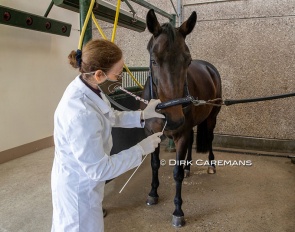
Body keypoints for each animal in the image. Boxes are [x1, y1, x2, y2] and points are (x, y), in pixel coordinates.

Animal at [140, 9, 222, 227]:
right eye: (153, 60)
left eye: (188, 61)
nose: (174, 118)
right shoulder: (152, 134)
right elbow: (154, 164)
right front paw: (152, 193)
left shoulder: (181, 134)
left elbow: (176, 173)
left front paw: (178, 211)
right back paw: (188, 167)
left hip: (211, 118)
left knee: (209, 138)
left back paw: (211, 166)